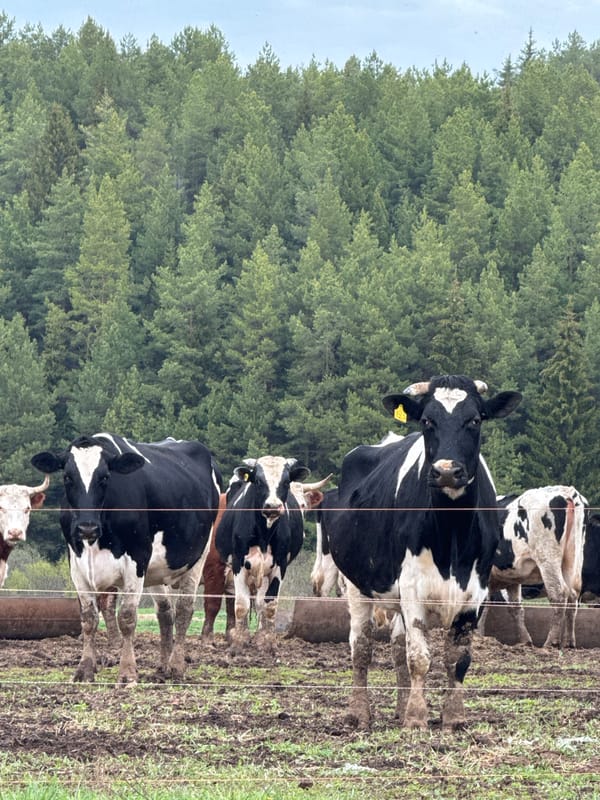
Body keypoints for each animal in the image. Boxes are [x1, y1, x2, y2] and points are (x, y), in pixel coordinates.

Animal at [30, 434, 221, 685]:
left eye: (105, 477)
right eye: (67, 477)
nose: (86, 527)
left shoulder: (137, 561)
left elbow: (128, 617)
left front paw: (128, 672)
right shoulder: (77, 566)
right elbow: (88, 619)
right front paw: (84, 670)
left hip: (197, 558)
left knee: (183, 611)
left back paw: (177, 667)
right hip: (157, 571)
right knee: (165, 613)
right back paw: (163, 667)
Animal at [215, 456, 327, 653]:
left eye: (286, 481)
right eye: (259, 481)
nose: (273, 506)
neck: (264, 533)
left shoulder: (279, 566)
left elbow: (269, 605)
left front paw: (267, 642)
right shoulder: (238, 564)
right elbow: (241, 604)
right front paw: (238, 642)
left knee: (260, 602)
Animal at [323, 374, 521, 730]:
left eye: (475, 420)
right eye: (428, 421)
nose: (446, 471)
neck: (451, 531)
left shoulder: (476, 591)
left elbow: (458, 658)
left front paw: (452, 716)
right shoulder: (412, 586)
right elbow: (419, 657)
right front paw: (417, 717)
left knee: (396, 647)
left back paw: (399, 708)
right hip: (356, 585)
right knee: (361, 647)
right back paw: (360, 713)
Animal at [483, 486, 587, 648]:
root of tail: (566, 491)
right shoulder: (512, 578)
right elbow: (515, 608)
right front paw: (525, 640)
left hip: (548, 559)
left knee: (559, 594)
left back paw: (551, 642)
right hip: (573, 560)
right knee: (573, 596)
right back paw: (569, 642)